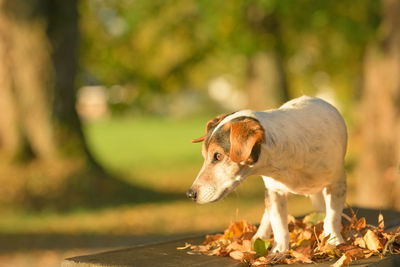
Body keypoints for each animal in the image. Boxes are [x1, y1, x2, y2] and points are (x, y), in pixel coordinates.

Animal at [188, 96, 346, 253]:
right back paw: (259, 236)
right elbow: (279, 225)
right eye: (204, 156)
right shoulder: (274, 191)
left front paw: (333, 241)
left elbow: (332, 217)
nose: (190, 194)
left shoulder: (337, 184)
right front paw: (278, 252)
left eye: (218, 156)